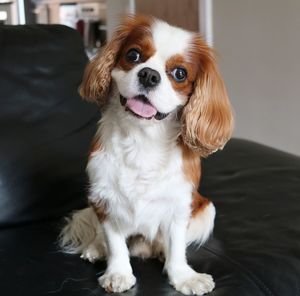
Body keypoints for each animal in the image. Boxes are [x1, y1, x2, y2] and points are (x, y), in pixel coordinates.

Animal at [59, 14, 233, 296]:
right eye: (133, 55)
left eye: (180, 73)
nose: (149, 75)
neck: (143, 139)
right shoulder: (105, 200)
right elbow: (115, 243)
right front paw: (118, 273)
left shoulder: (179, 205)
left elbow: (177, 247)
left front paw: (183, 276)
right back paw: (97, 247)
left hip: (207, 210)